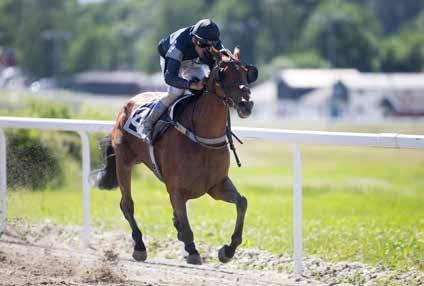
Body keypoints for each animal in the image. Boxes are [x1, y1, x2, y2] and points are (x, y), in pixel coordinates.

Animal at [95, 47, 255, 264]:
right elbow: (185, 223)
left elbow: (242, 202)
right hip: (124, 162)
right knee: (127, 204)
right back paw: (139, 246)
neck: (201, 136)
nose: (247, 104)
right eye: (223, 72)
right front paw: (192, 250)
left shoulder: (216, 185)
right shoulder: (176, 189)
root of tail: (127, 104)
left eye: (246, 72)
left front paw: (228, 250)